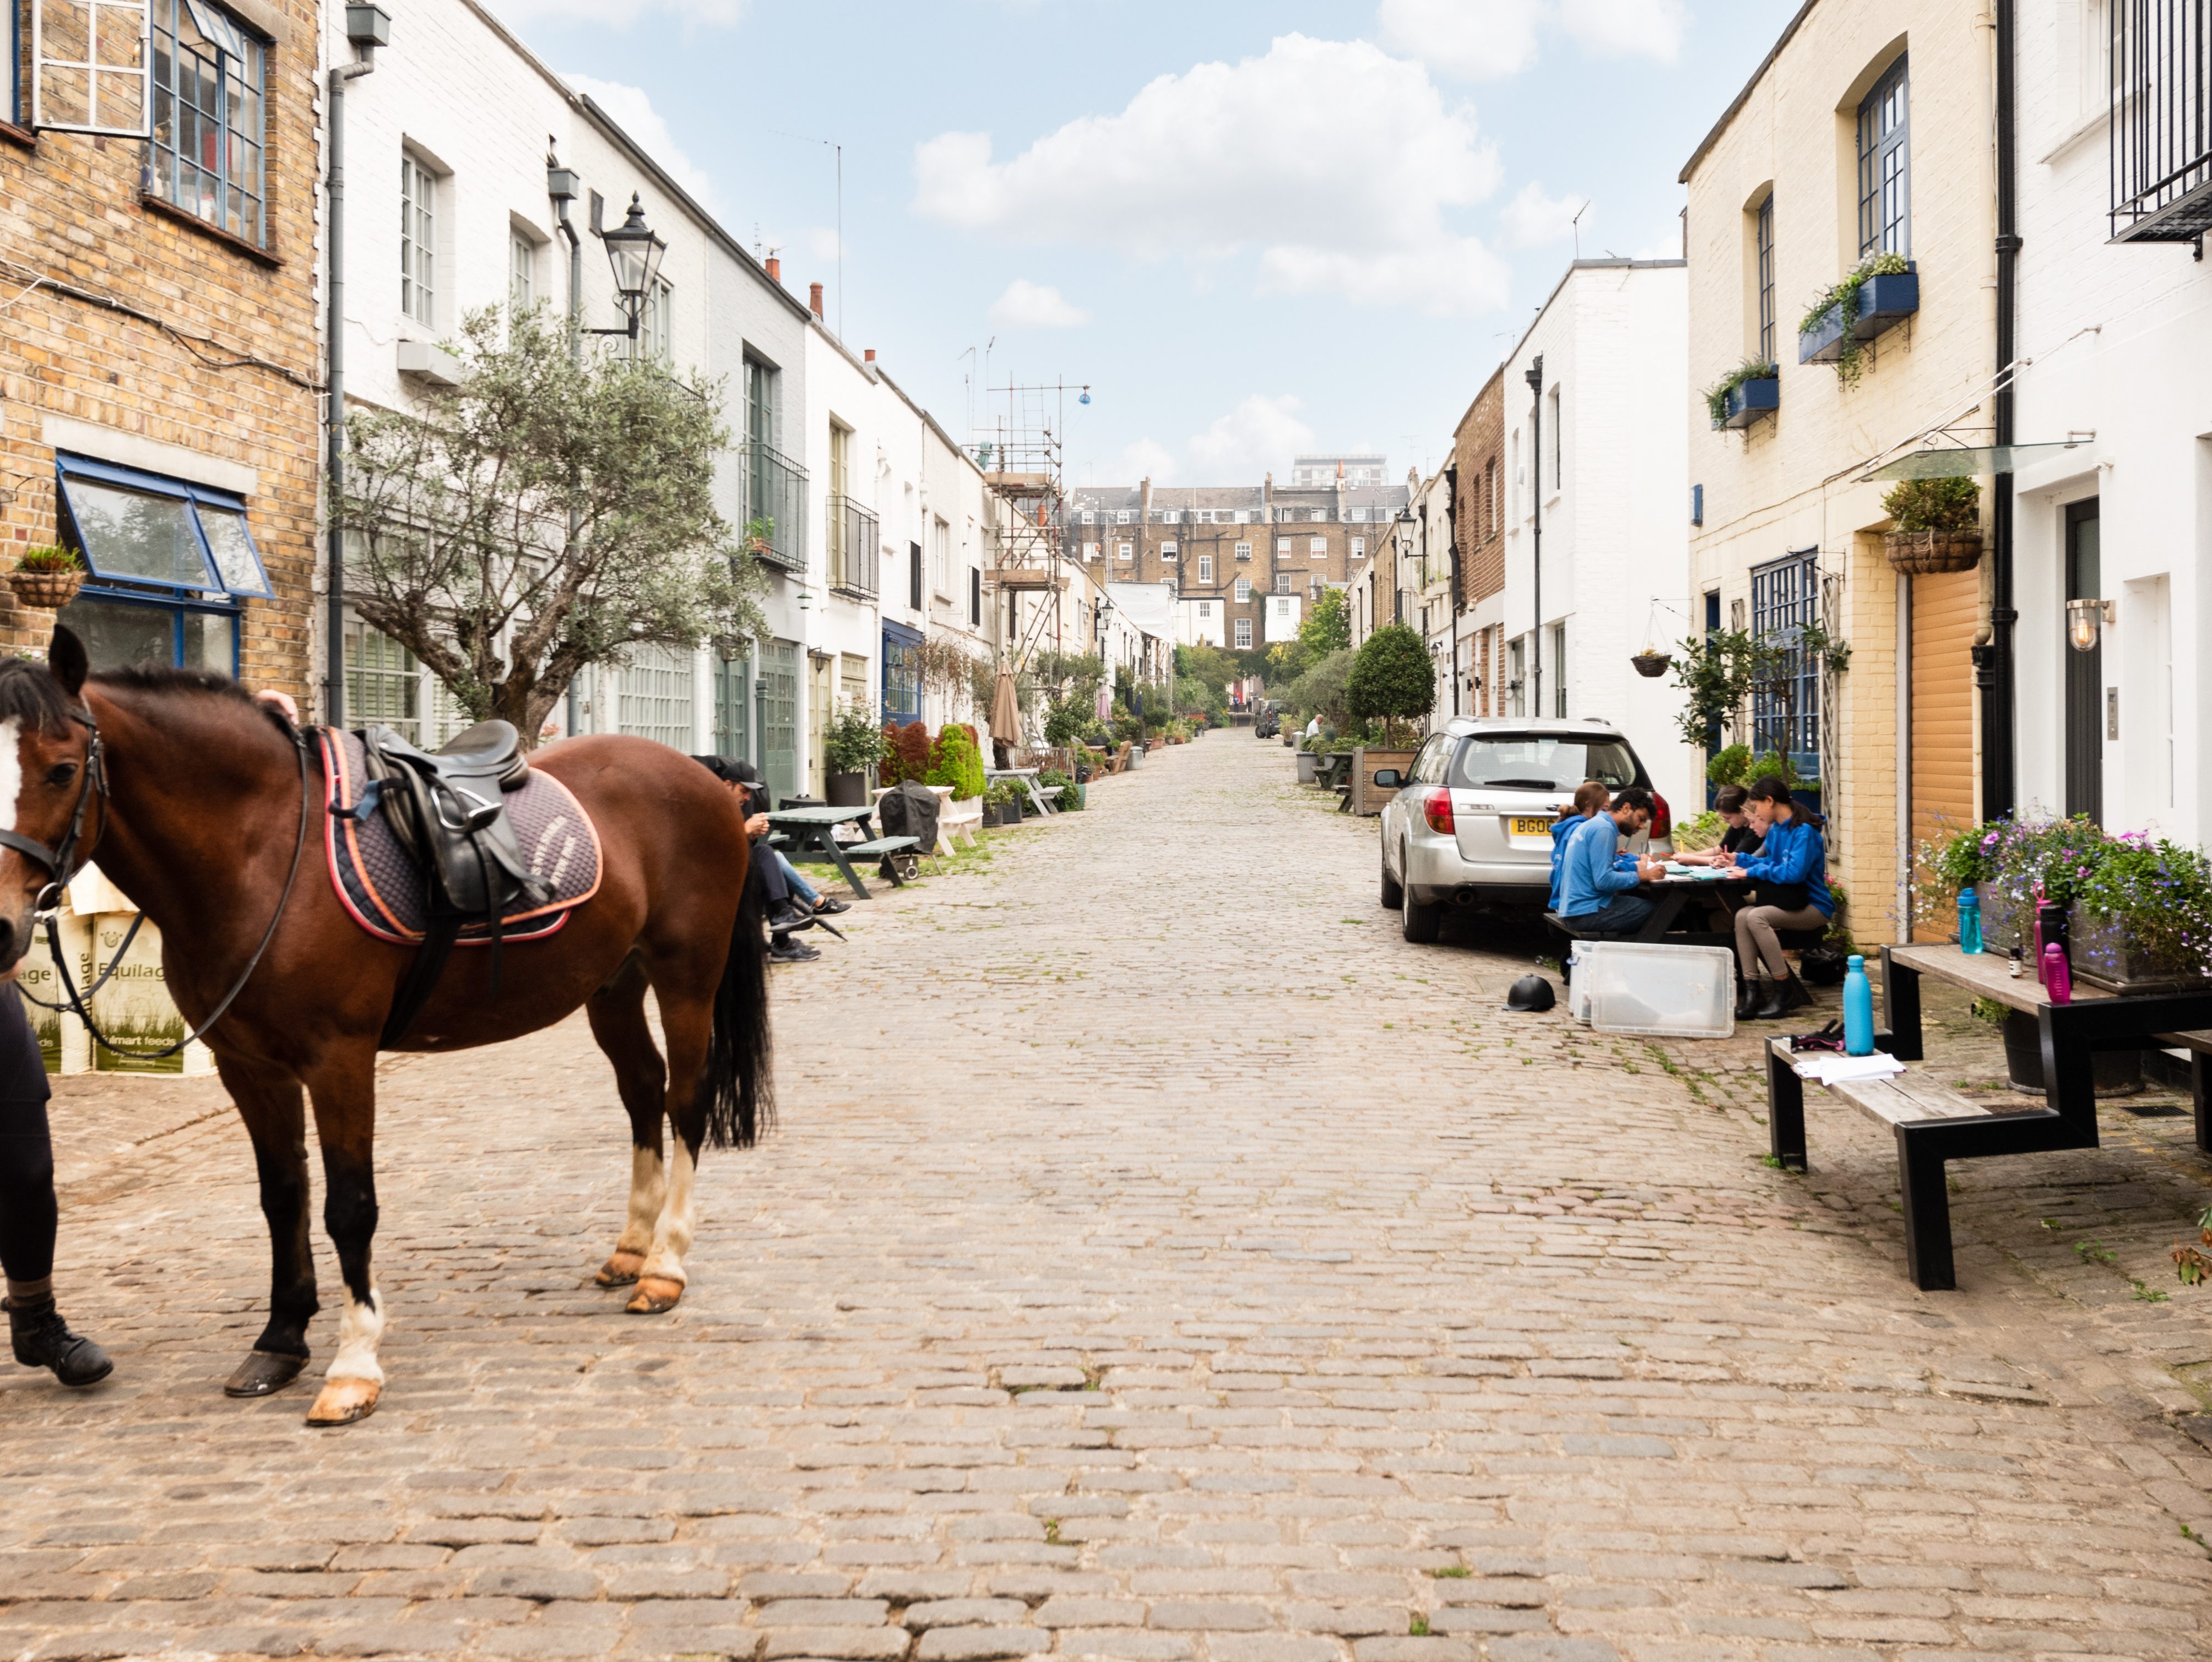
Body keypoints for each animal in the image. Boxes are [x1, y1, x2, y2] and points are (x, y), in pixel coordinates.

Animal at [0, 630, 770, 1426]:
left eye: (61, 769)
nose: (2, 927)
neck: (263, 851)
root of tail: (707, 781)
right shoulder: (250, 1068)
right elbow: (283, 1197)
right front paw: (280, 1341)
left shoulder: (339, 1059)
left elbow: (349, 1207)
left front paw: (353, 1363)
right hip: (613, 987)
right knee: (644, 1092)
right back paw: (630, 1250)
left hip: (686, 978)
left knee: (686, 1103)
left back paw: (665, 1266)